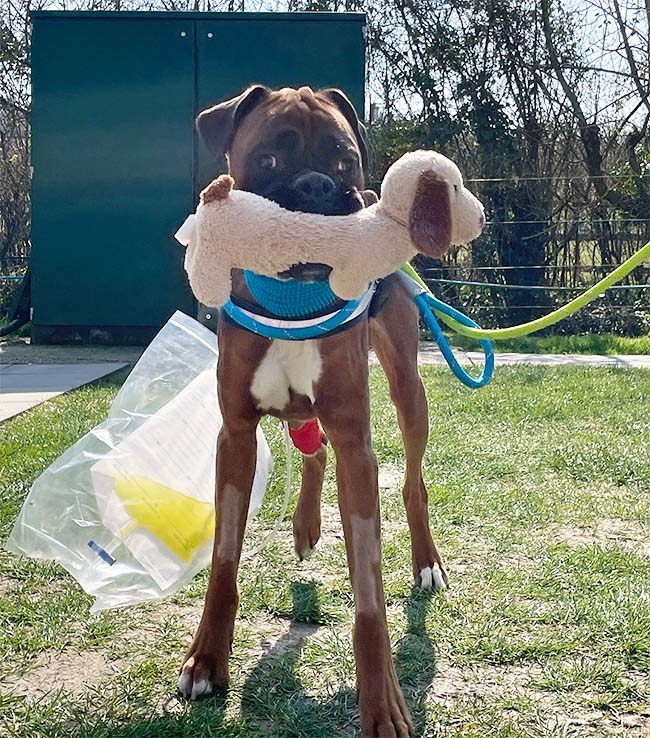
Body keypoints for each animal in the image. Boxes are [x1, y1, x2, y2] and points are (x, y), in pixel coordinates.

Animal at [178, 86, 450, 736]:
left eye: (344, 160)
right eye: (270, 160)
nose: (316, 186)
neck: (291, 300)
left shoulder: (357, 445)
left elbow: (369, 597)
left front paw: (382, 702)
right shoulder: (236, 437)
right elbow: (224, 560)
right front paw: (206, 659)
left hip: (407, 391)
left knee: (412, 482)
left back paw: (425, 561)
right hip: (299, 415)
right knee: (311, 449)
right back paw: (304, 525)